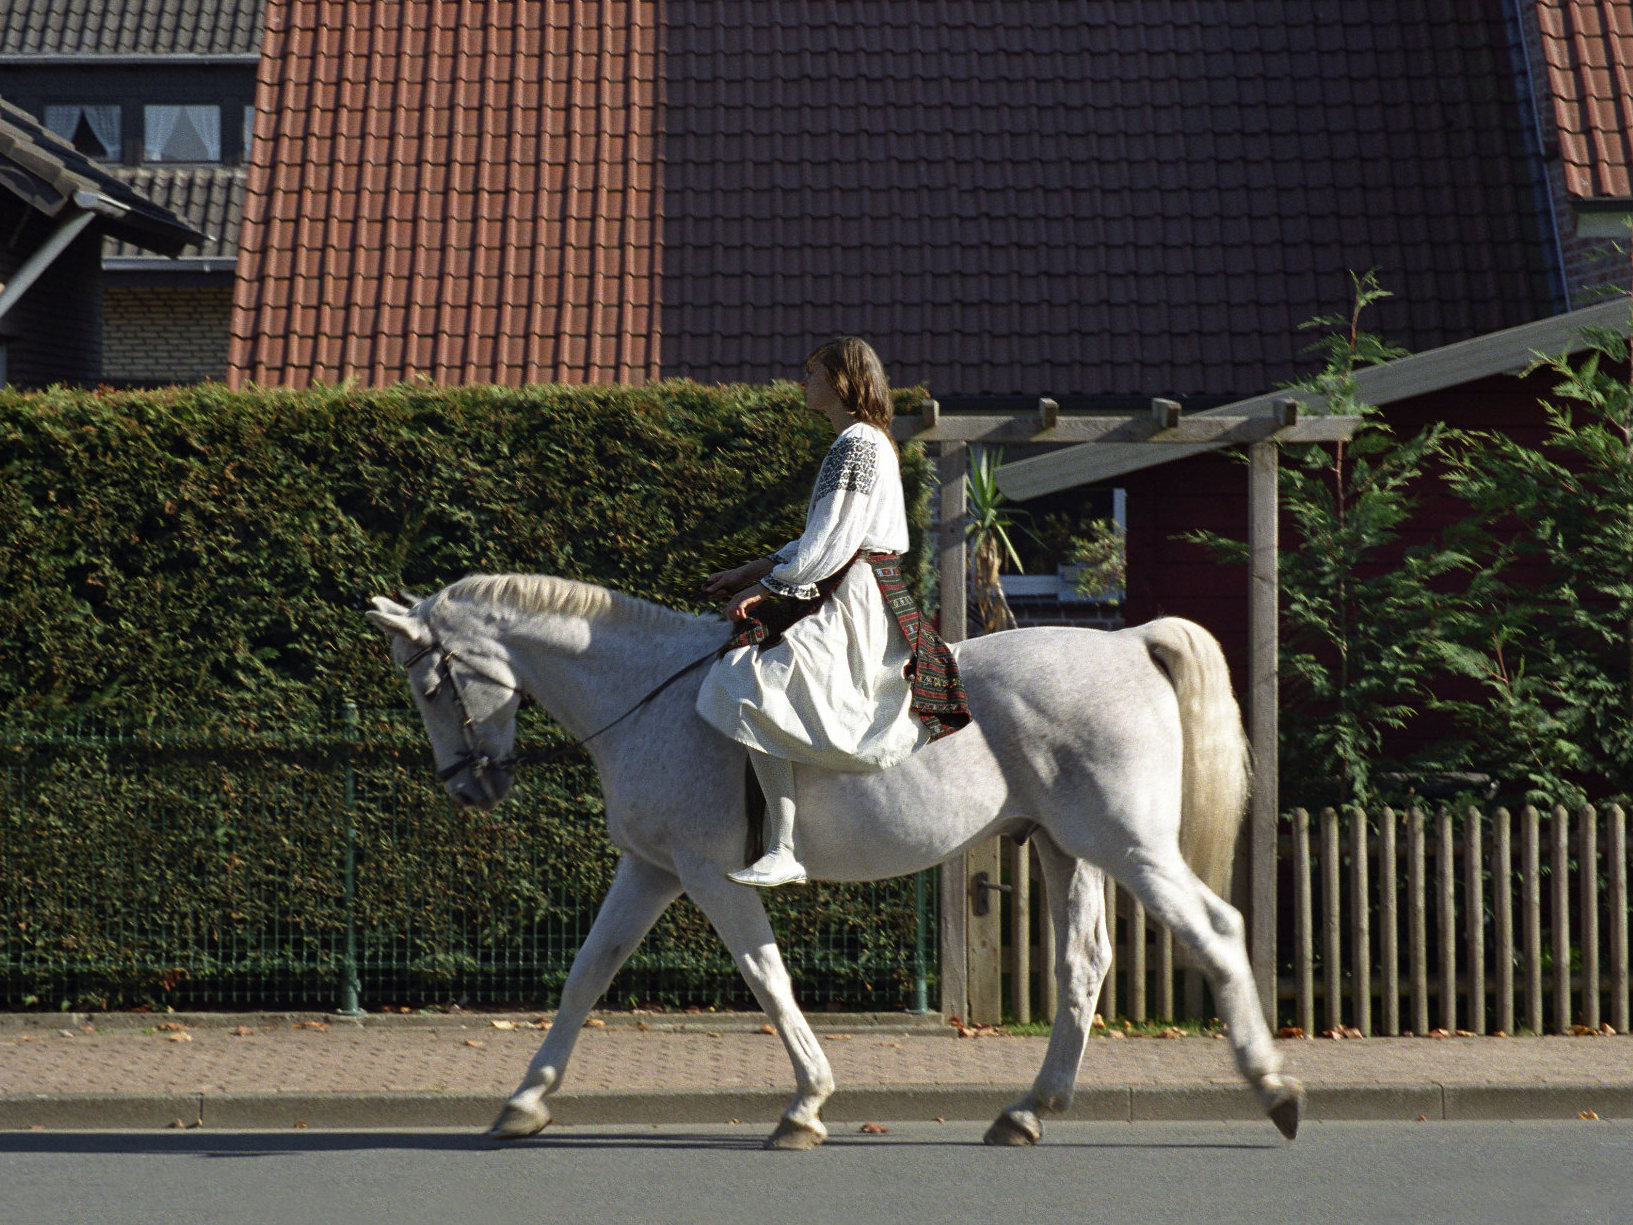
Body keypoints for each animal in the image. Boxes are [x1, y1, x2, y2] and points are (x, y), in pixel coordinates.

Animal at [367, 574, 1299, 1149]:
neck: (648, 696)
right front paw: (525, 1100)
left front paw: (805, 1105)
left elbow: (766, 977)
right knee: (1083, 965)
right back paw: (1029, 1109)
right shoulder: (649, 870)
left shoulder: (704, 875)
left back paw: (1273, 1086)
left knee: (1215, 931)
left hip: (1127, 846)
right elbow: (585, 974)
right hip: (1069, 849)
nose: (468, 786)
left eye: (429, 685)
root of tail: (1127, 641)